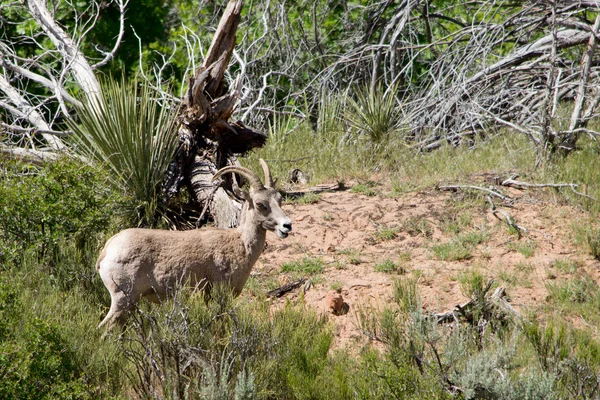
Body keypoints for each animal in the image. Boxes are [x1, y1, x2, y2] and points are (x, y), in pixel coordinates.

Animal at [95, 158, 292, 330]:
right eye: (260, 204)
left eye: (279, 200)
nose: (287, 225)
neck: (240, 245)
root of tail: (107, 251)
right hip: (122, 300)